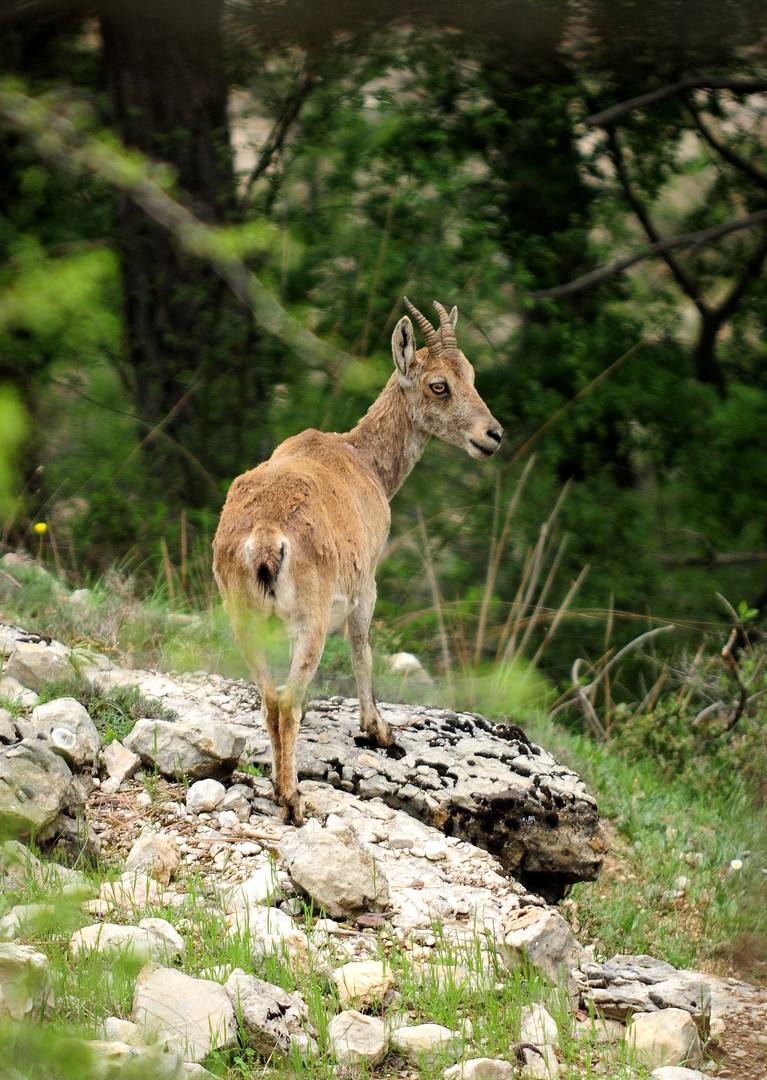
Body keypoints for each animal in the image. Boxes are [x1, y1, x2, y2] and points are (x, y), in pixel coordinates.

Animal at [214, 295, 505, 816]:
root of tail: (265, 538)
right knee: (287, 700)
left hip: (243, 617)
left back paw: (279, 786)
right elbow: (363, 649)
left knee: (270, 698)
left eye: (470, 373)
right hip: (308, 620)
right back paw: (292, 798)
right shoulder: (366, 582)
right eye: (438, 385)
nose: (492, 435)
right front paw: (380, 730)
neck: (363, 458)